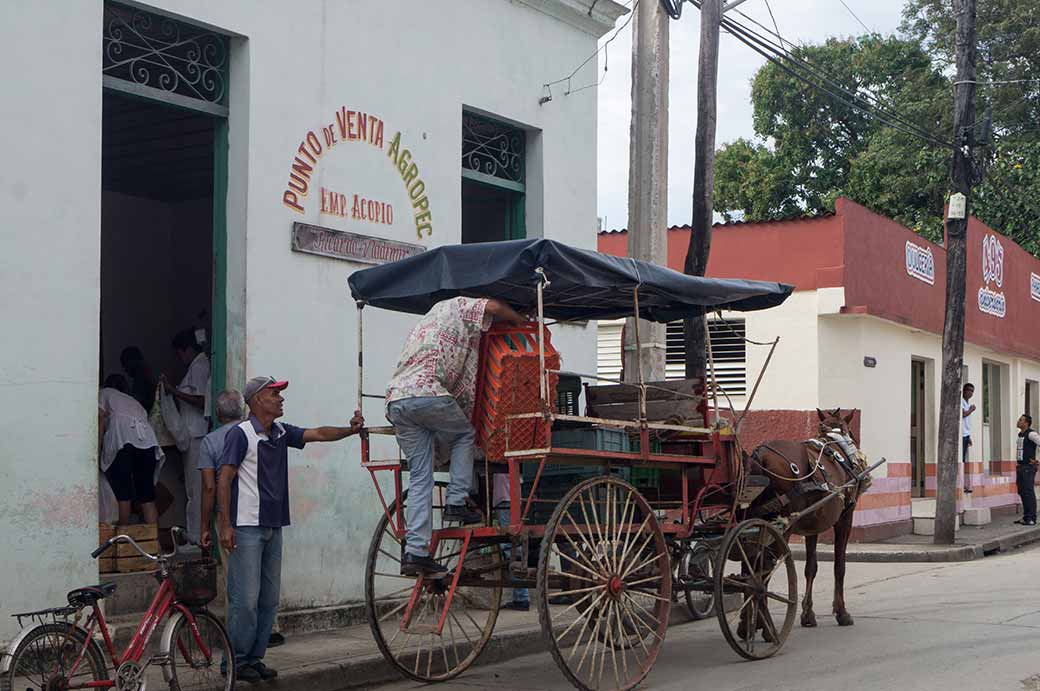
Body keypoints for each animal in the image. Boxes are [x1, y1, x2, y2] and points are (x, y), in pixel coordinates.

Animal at [744, 407, 873, 628]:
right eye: (850, 433)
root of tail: (760, 457)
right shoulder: (845, 518)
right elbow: (839, 566)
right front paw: (841, 612)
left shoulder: (813, 526)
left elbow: (811, 567)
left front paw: (807, 614)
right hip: (780, 529)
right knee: (762, 569)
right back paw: (762, 621)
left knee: (746, 567)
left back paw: (746, 622)